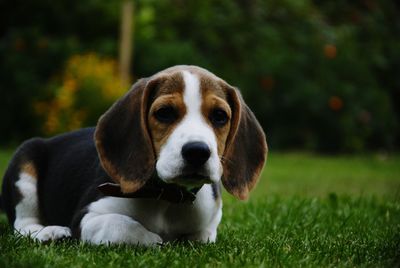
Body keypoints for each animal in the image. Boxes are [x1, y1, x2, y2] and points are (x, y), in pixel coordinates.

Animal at [1, 65, 268, 245]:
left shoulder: (209, 221)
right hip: (25, 161)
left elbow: (203, 234)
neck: (166, 198)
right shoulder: (87, 218)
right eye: (164, 112)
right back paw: (50, 232)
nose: (197, 151)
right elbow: (124, 227)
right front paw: (155, 239)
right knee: (22, 224)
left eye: (220, 116)